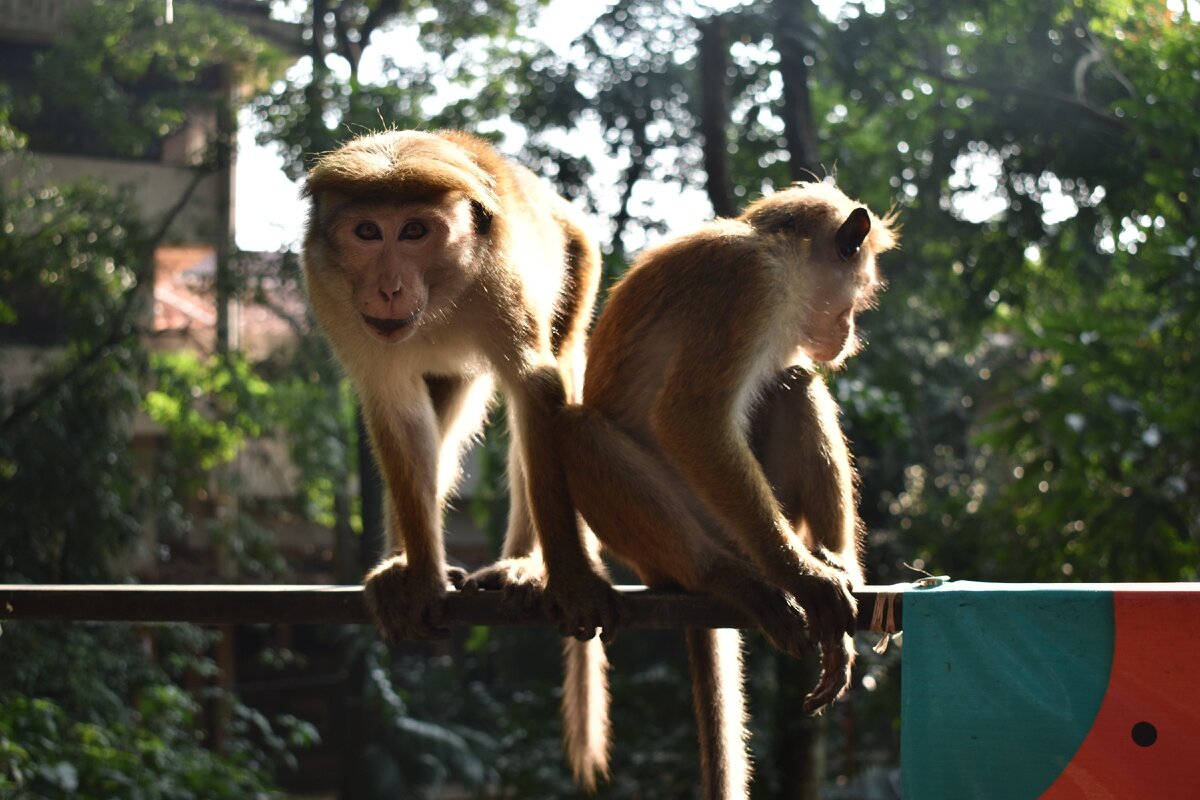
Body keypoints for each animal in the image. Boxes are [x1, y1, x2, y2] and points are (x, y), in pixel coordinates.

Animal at [300, 130, 624, 786]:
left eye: (414, 231)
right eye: (367, 231)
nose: (390, 287)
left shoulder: (498, 282)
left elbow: (536, 391)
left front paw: (569, 577)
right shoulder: (334, 299)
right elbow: (395, 409)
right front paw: (421, 576)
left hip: (579, 260)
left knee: (551, 384)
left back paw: (525, 564)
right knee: (439, 415)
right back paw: (398, 564)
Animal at [556, 183, 897, 800]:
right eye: (859, 293)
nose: (850, 335)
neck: (781, 254)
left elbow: (782, 383)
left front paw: (826, 573)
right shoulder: (749, 286)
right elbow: (688, 421)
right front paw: (804, 578)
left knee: (793, 383)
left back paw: (834, 558)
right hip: (694, 532)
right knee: (580, 433)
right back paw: (723, 575)